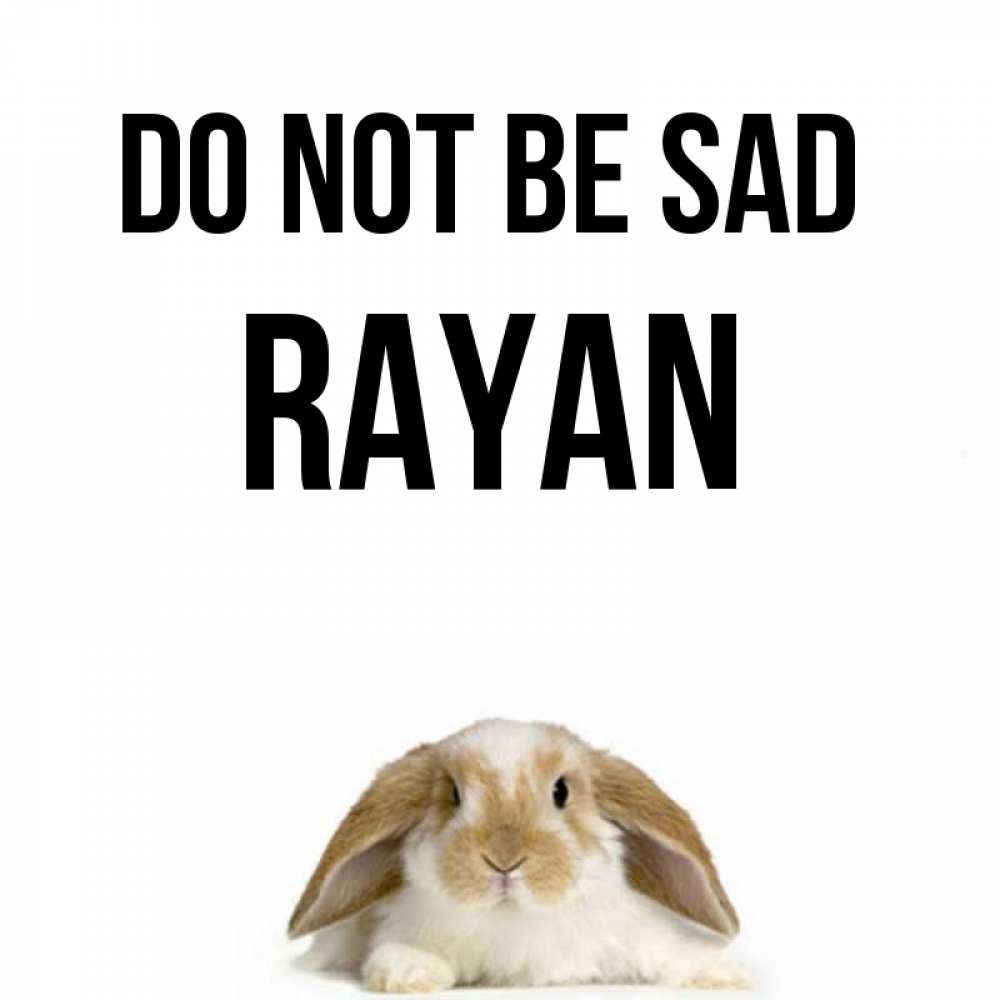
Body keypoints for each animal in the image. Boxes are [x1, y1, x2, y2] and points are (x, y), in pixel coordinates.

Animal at [288, 719, 750, 991]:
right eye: (453, 795)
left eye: (561, 791)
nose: (504, 859)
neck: (514, 919)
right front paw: (410, 973)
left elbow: (674, 950)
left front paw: (725, 973)